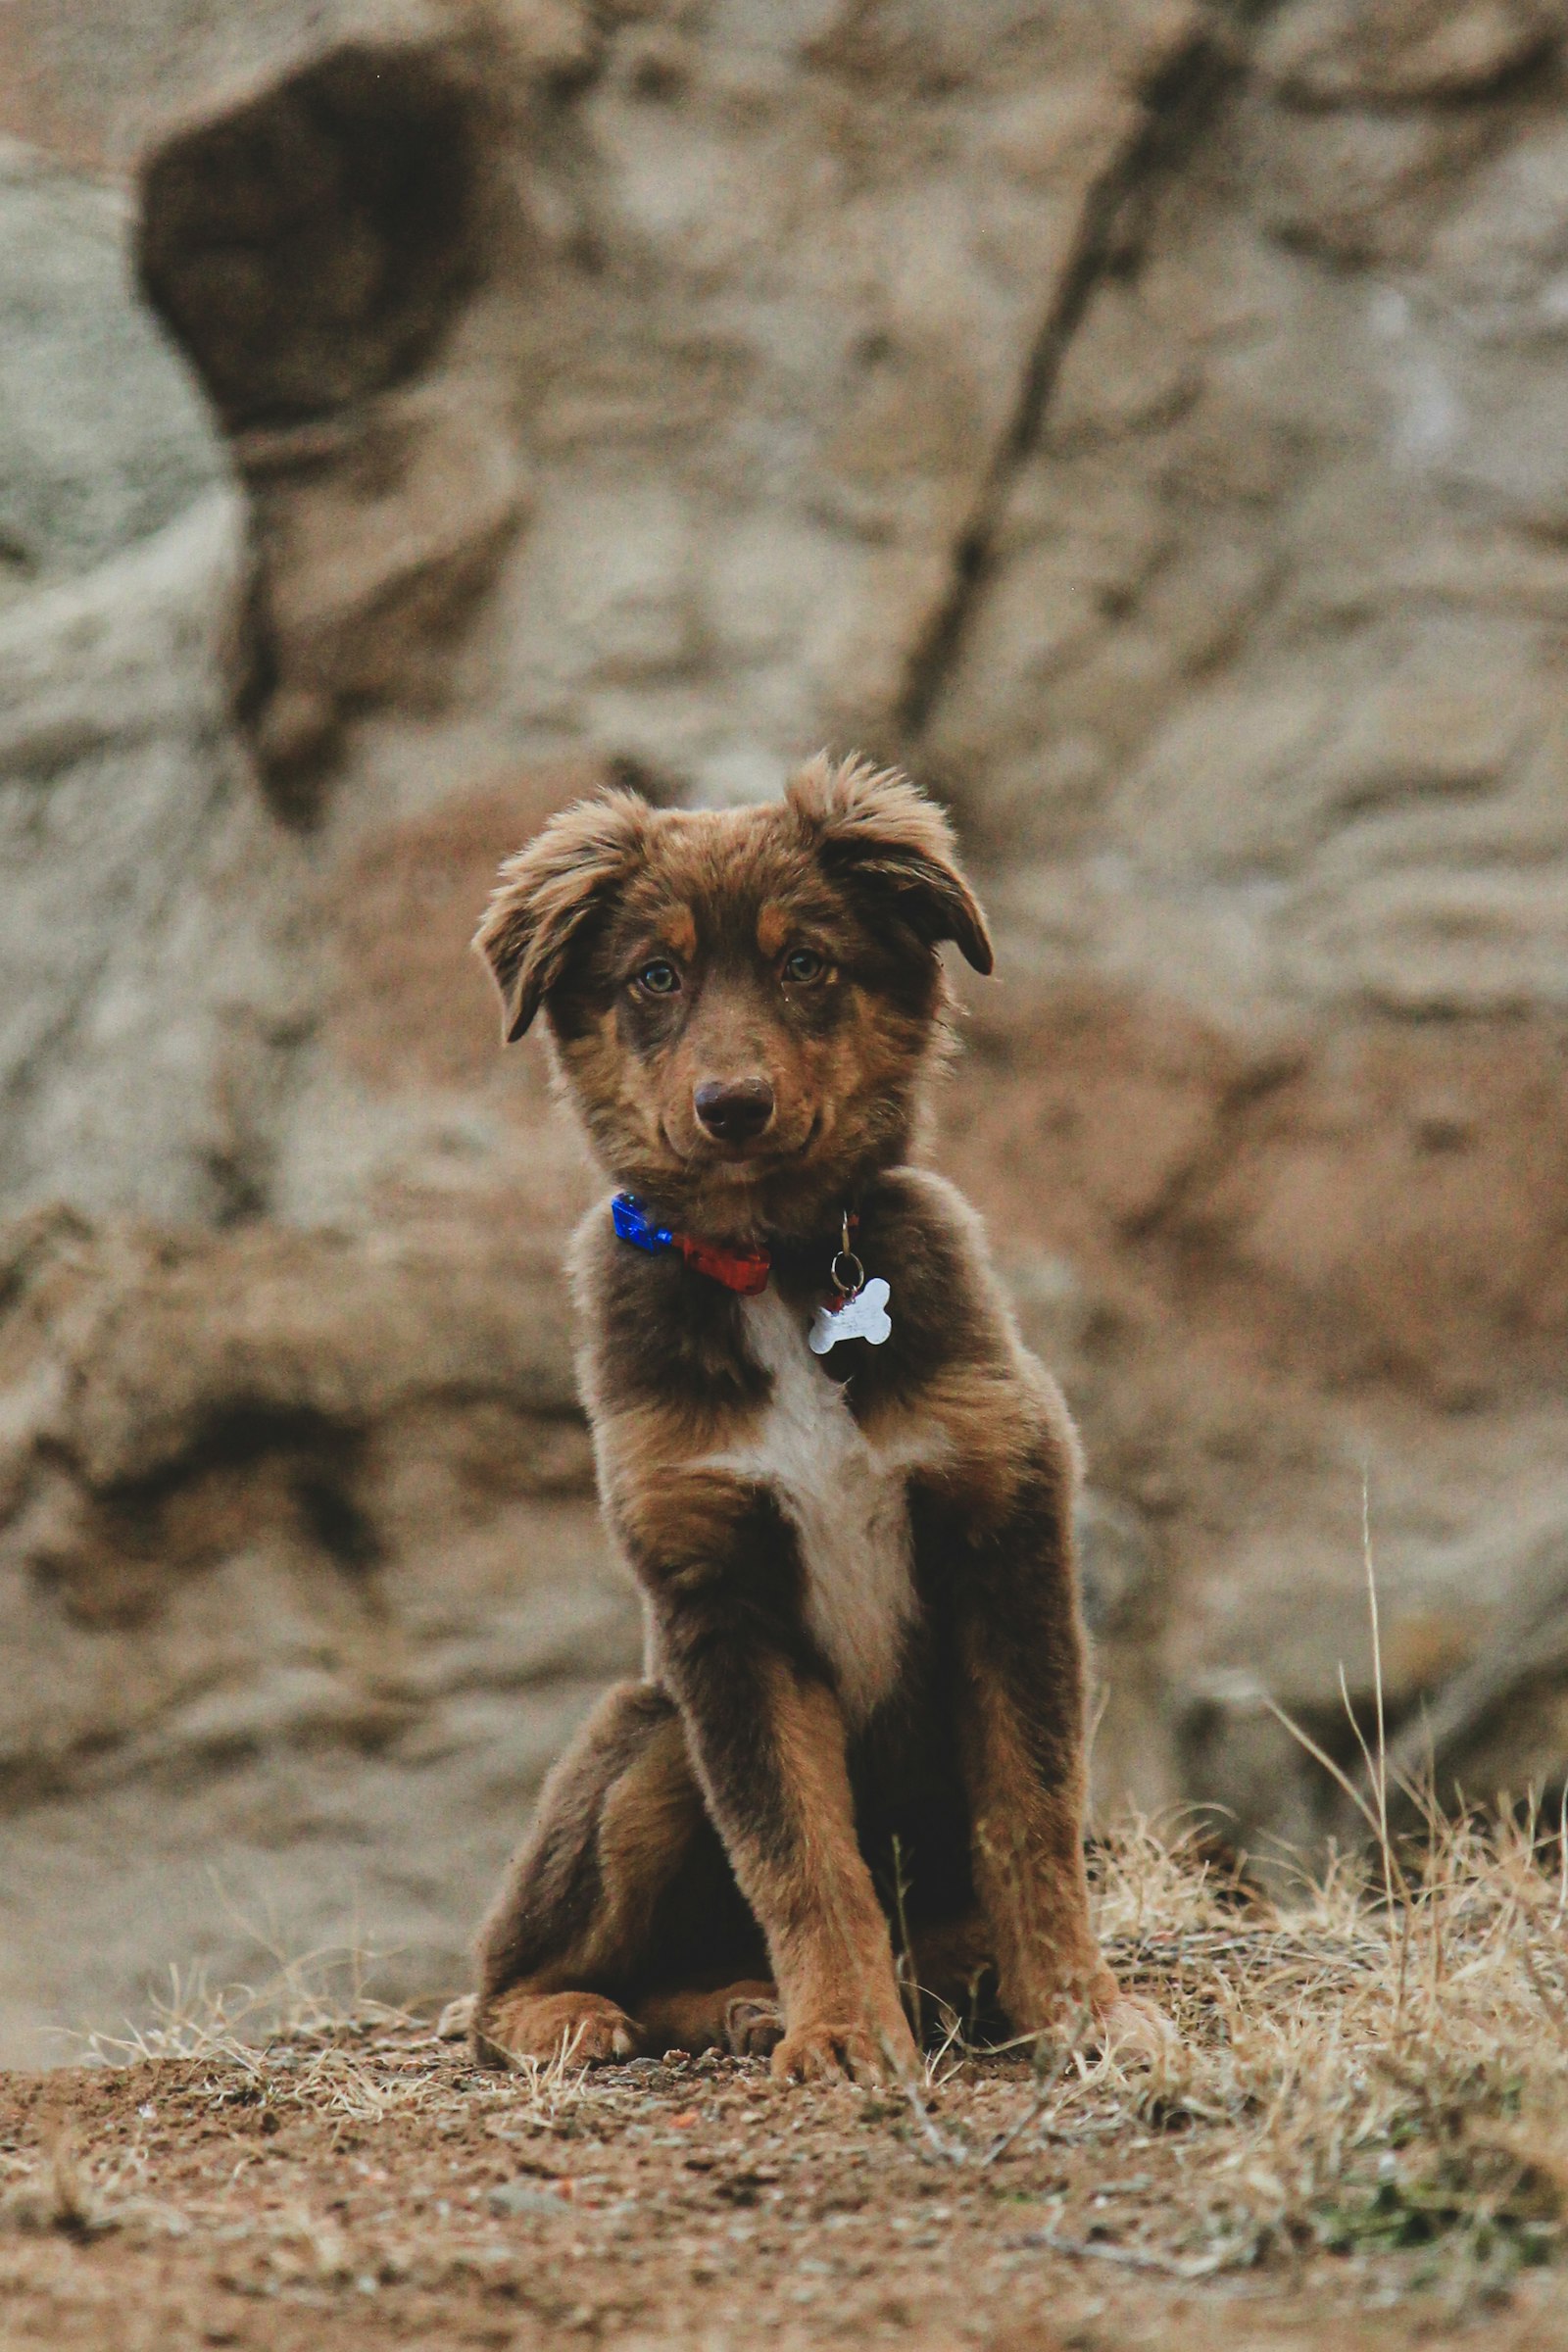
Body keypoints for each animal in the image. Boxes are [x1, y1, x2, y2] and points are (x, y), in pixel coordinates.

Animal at [465, 748, 1152, 2079]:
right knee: (505, 1976)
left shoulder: (1005, 1540)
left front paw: (1076, 2011)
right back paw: (589, 2014)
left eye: (805, 964)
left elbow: (1032, 1817)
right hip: (644, 1739)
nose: (731, 1106)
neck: (772, 1265)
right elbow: (797, 1851)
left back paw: (822, 1995)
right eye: (656, 975)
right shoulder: (719, 1606)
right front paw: (840, 2032)